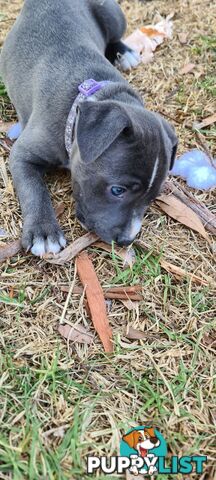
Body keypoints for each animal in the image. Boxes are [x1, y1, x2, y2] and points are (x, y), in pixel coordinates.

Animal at [0, 0, 178, 256]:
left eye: (153, 198)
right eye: (117, 190)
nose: (126, 241)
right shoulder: (22, 154)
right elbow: (33, 189)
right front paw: (44, 232)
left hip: (113, 15)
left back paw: (124, 53)